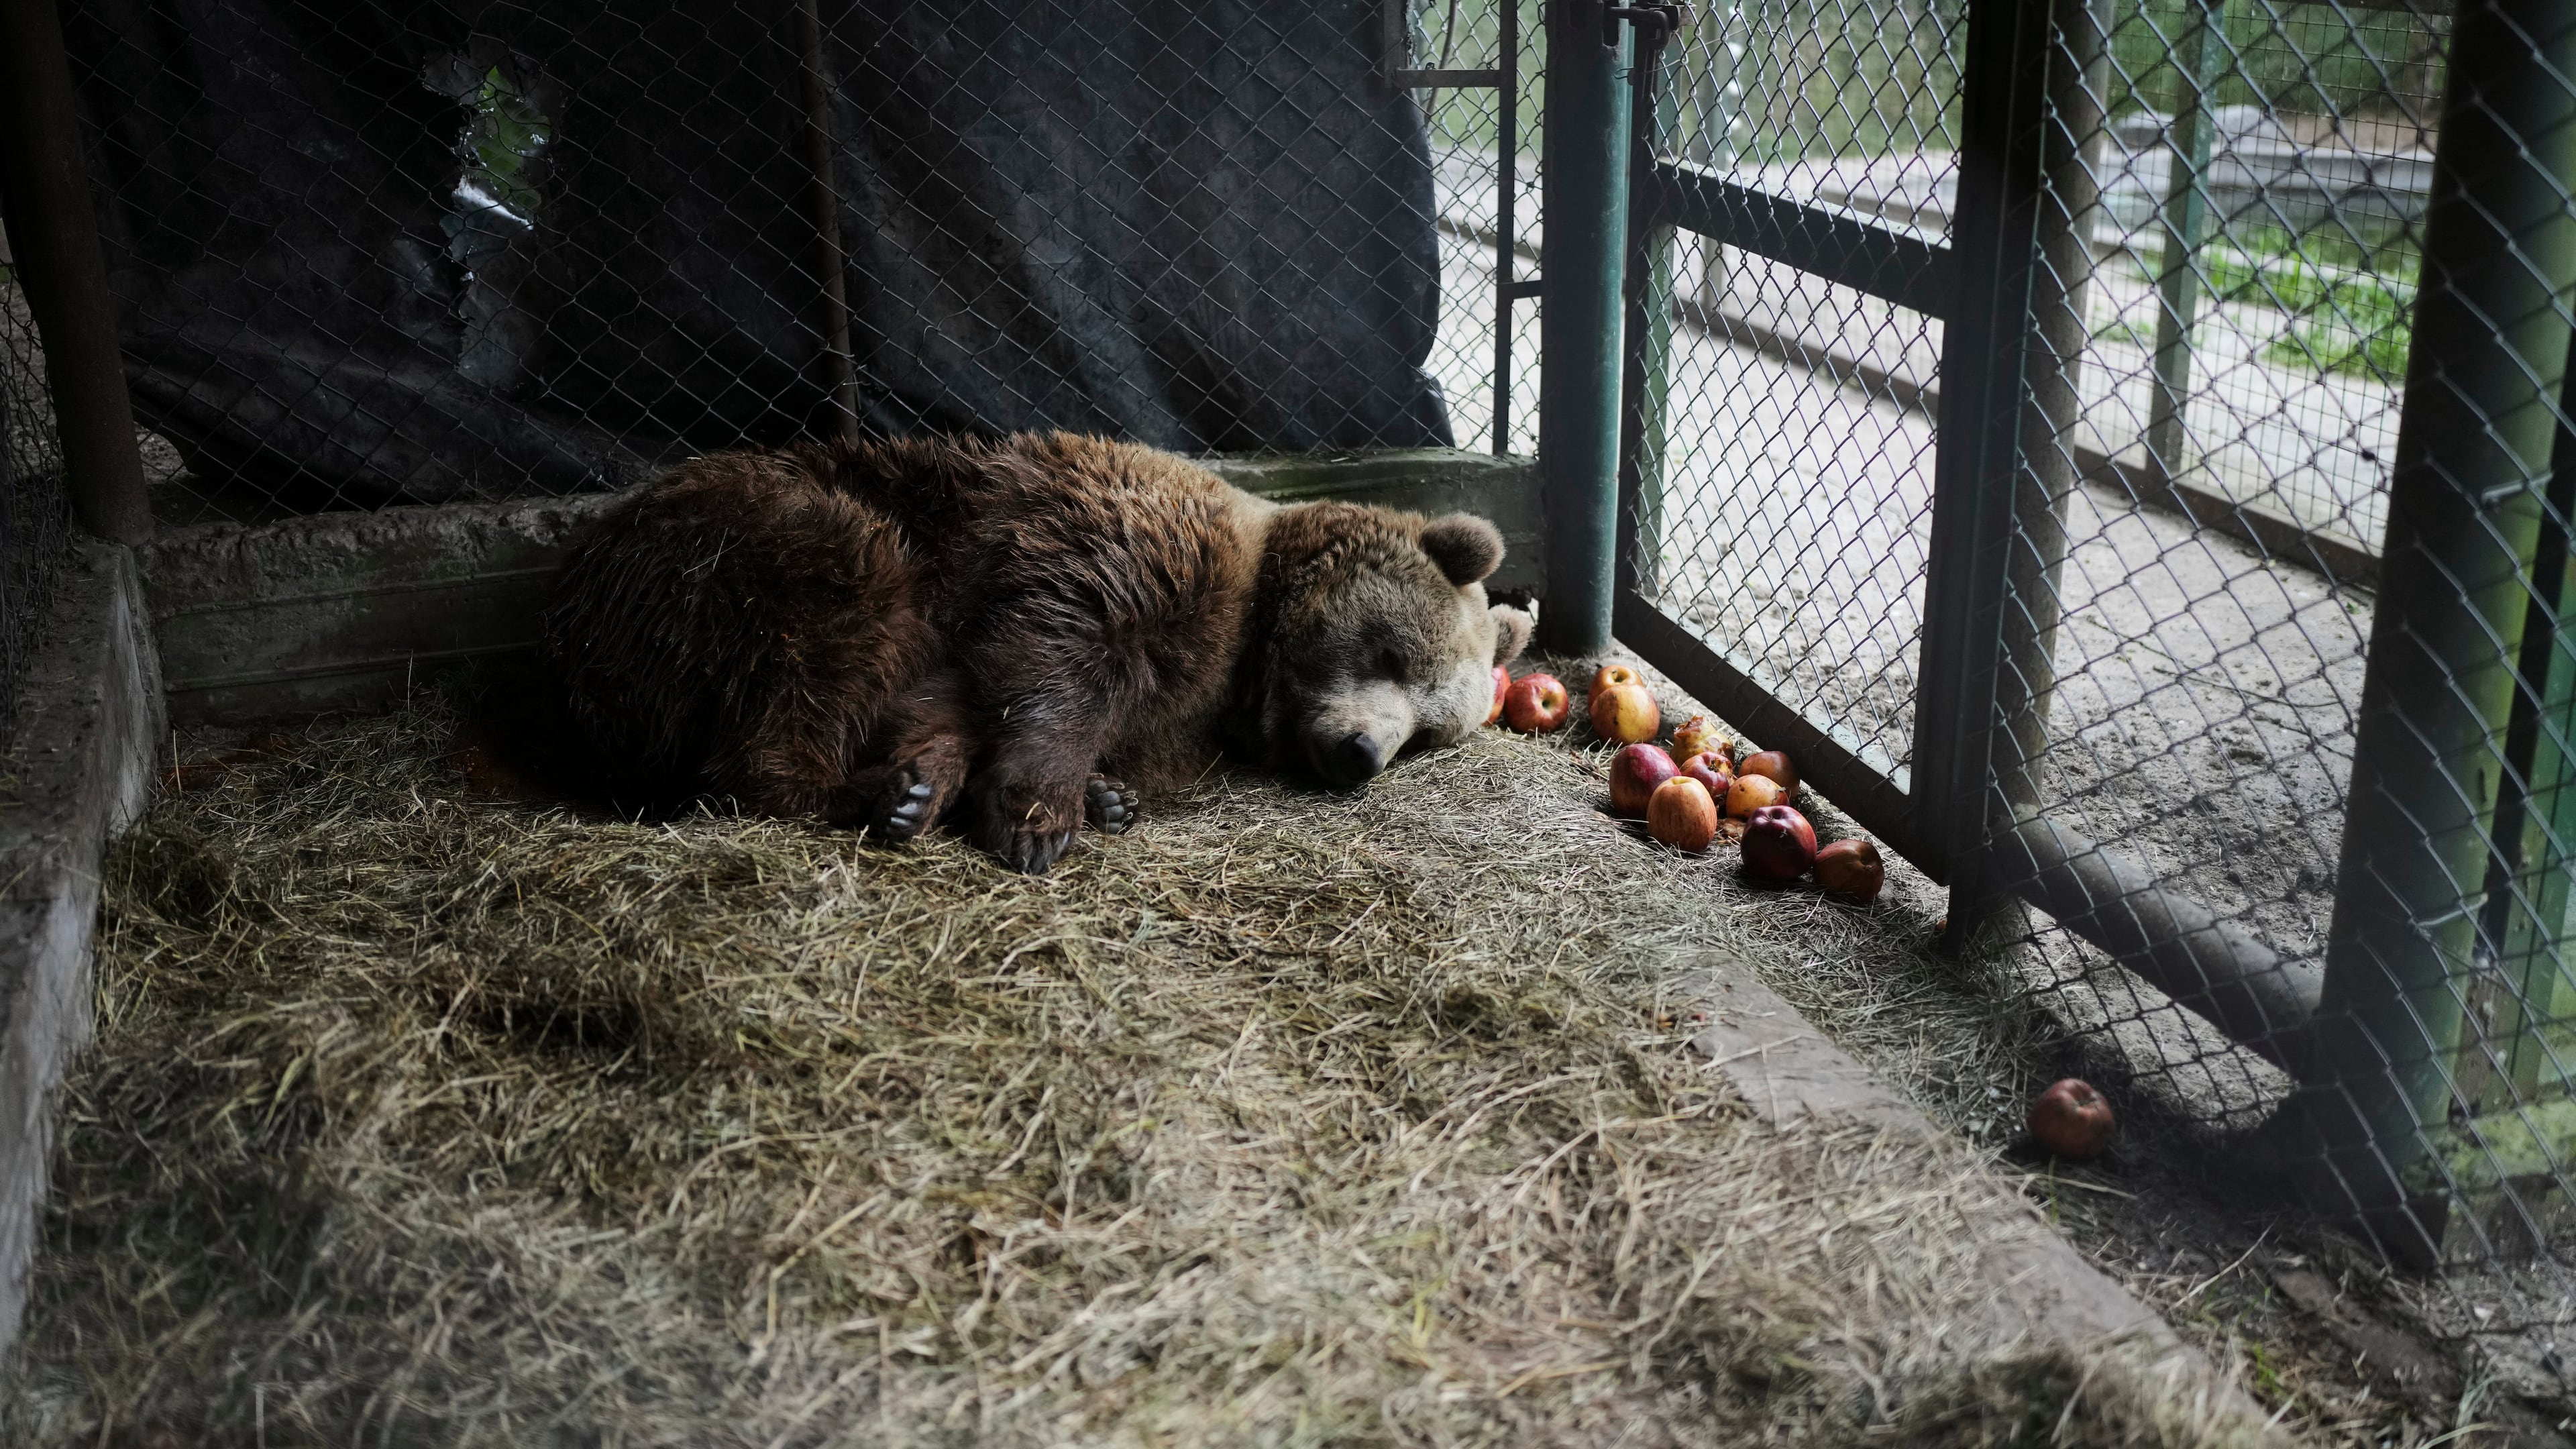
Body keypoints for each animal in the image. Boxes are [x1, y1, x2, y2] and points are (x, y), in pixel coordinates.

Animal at [539, 431, 1535, 873]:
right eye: (1396, 653)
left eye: (1428, 735)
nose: (1362, 753)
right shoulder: (1124, 551)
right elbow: (1058, 654)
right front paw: (1036, 813)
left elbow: (954, 697)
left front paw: (1092, 792)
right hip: (739, 546)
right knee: (830, 619)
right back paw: (861, 791)